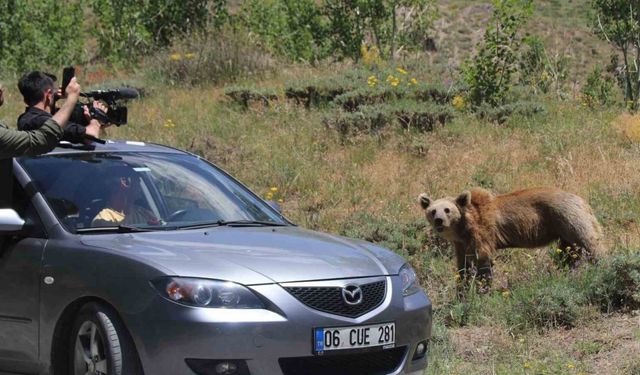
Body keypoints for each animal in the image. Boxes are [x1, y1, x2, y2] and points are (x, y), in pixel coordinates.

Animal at [418, 188, 604, 288]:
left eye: (447, 209)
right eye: (433, 210)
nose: (439, 220)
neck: (463, 228)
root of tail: (582, 200)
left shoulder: (483, 233)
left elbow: (483, 260)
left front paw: (482, 288)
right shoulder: (461, 243)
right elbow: (463, 265)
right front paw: (462, 288)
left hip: (569, 219)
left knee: (590, 243)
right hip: (563, 233)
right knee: (568, 255)